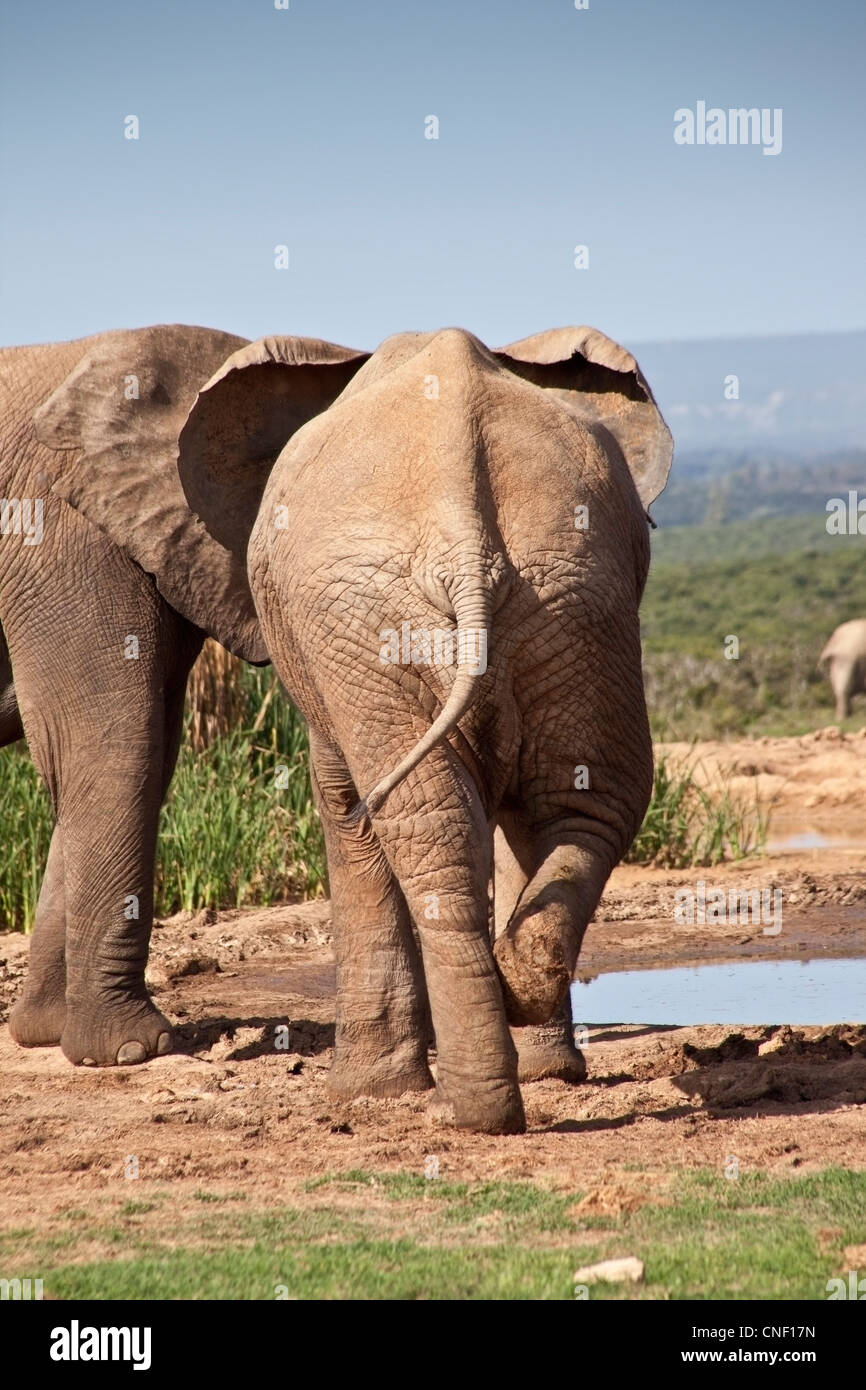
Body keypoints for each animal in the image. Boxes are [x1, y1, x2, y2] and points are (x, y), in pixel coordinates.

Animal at [176, 325, 672, 1133]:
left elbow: (343, 808)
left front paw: (364, 1095)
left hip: (374, 624)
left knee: (420, 820)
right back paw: (515, 1001)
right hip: (576, 598)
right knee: (582, 799)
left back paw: (468, 1110)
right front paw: (543, 1064)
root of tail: (465, 542)